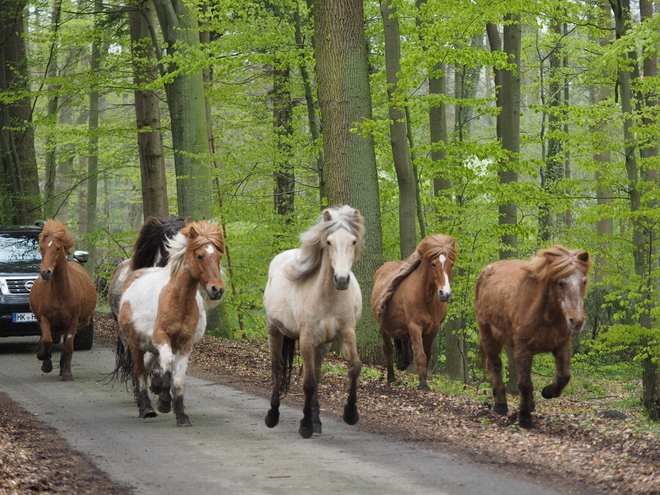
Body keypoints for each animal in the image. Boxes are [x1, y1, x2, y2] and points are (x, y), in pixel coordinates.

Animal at [28, 219, 96, 382]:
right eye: (42, 248)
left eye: (58, 248)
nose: (45, 272)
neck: (61, 294)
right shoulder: (45, 319)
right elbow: (47, 341)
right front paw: (44, 360)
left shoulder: (72, 321)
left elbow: (68, 347)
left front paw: (67, 374)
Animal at [116, 221, 224, 426]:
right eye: (200, 256)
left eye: (219, 256)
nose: (217, 290)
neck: (176, 301)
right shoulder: (161, 338)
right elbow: (167, 367)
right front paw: (164, 402)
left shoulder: (185, 344)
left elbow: (178, 379)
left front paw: (181, 415)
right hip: (135, 343)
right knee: (139, 371)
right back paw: (146, 408)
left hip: (150, 346)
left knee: (149, 367)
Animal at [264, 204, 366, 438]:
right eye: (328, 242)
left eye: (353, 241)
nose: (342, 280)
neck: (328, 298)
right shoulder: (307, 340)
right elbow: (308, 383)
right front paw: (305, 425)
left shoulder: (346, 333)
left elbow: (354, 367)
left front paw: (350, 414)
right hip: (274, 330)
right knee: (277, 368)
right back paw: (273, 415)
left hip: (323, 344)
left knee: (317, 373)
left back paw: (317, 420)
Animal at [372, 235, 458, 392]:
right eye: (433, 264)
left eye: (451, 264)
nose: (445, 294)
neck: (426, 299)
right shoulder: (415, 327)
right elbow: (420, 355)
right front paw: (423, 384)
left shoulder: (433, 330)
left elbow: (427, 355)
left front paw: (423, 379)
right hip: (385, 329)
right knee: (388, 349)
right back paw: (391, 378)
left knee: (404, 343)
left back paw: (403, 362)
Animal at [474, 246, 592, 428]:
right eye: (561, 283)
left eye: (583, 281)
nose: (577, 322)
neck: (546, 315)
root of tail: (486, 271)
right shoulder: (523, 348)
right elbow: (524, 384)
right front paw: (524, 418)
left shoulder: (562, 345)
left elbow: (564, 377)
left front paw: (548, 392)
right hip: (488, 334)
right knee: (495, 365)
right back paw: (501, 404)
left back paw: (530, 403)